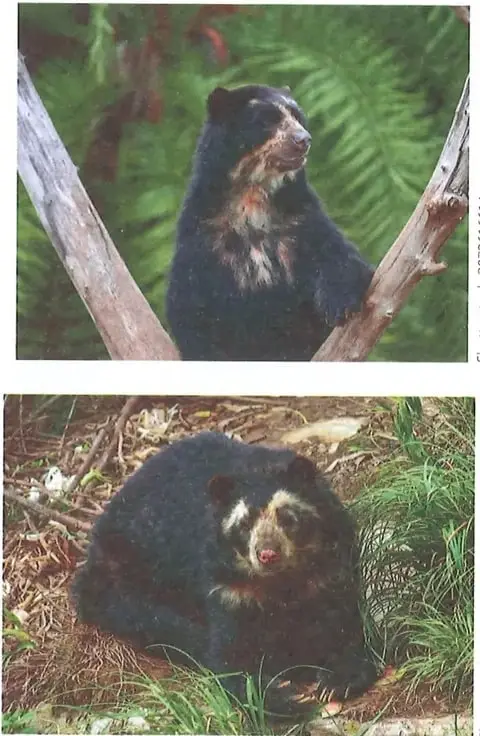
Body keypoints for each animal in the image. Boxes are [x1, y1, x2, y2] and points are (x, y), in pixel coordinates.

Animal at [71, 431, 377, 717]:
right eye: (244, 524)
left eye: (288, 518)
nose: (267, 554)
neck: (280, 582)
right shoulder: (227, 587)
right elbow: (229, 653)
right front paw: (281, 695)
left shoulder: (331, 568)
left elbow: (340, 622)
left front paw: (337, 680)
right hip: (121, 583)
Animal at [166, 85, 374, 361]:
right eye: (268, 119)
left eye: (298, 117)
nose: (303, 139)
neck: (253, 197)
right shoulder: (204, 236)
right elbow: (190, 308)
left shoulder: (300, 220)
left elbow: (341, 257)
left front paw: (340, 305)